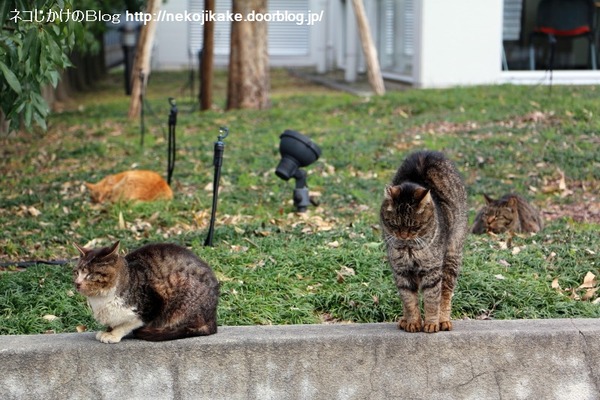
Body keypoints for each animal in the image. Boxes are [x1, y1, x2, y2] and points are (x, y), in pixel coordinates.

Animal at [72, 241, 218, 344]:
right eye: (77, 272)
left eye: (90, 275)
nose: (77, 283)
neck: (100, 300)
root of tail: (212, 317)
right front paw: (107, 331)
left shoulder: (152, 306)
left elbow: (128, 323)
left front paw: (113, 334)